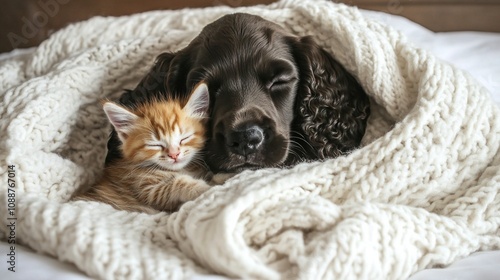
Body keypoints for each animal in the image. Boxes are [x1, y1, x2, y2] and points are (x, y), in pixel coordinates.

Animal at [74, 82, 213, 213]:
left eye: (185, 138)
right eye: (155, 145)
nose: (174, 155)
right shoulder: (145, 189)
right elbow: (175, 184)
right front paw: (205, 187)